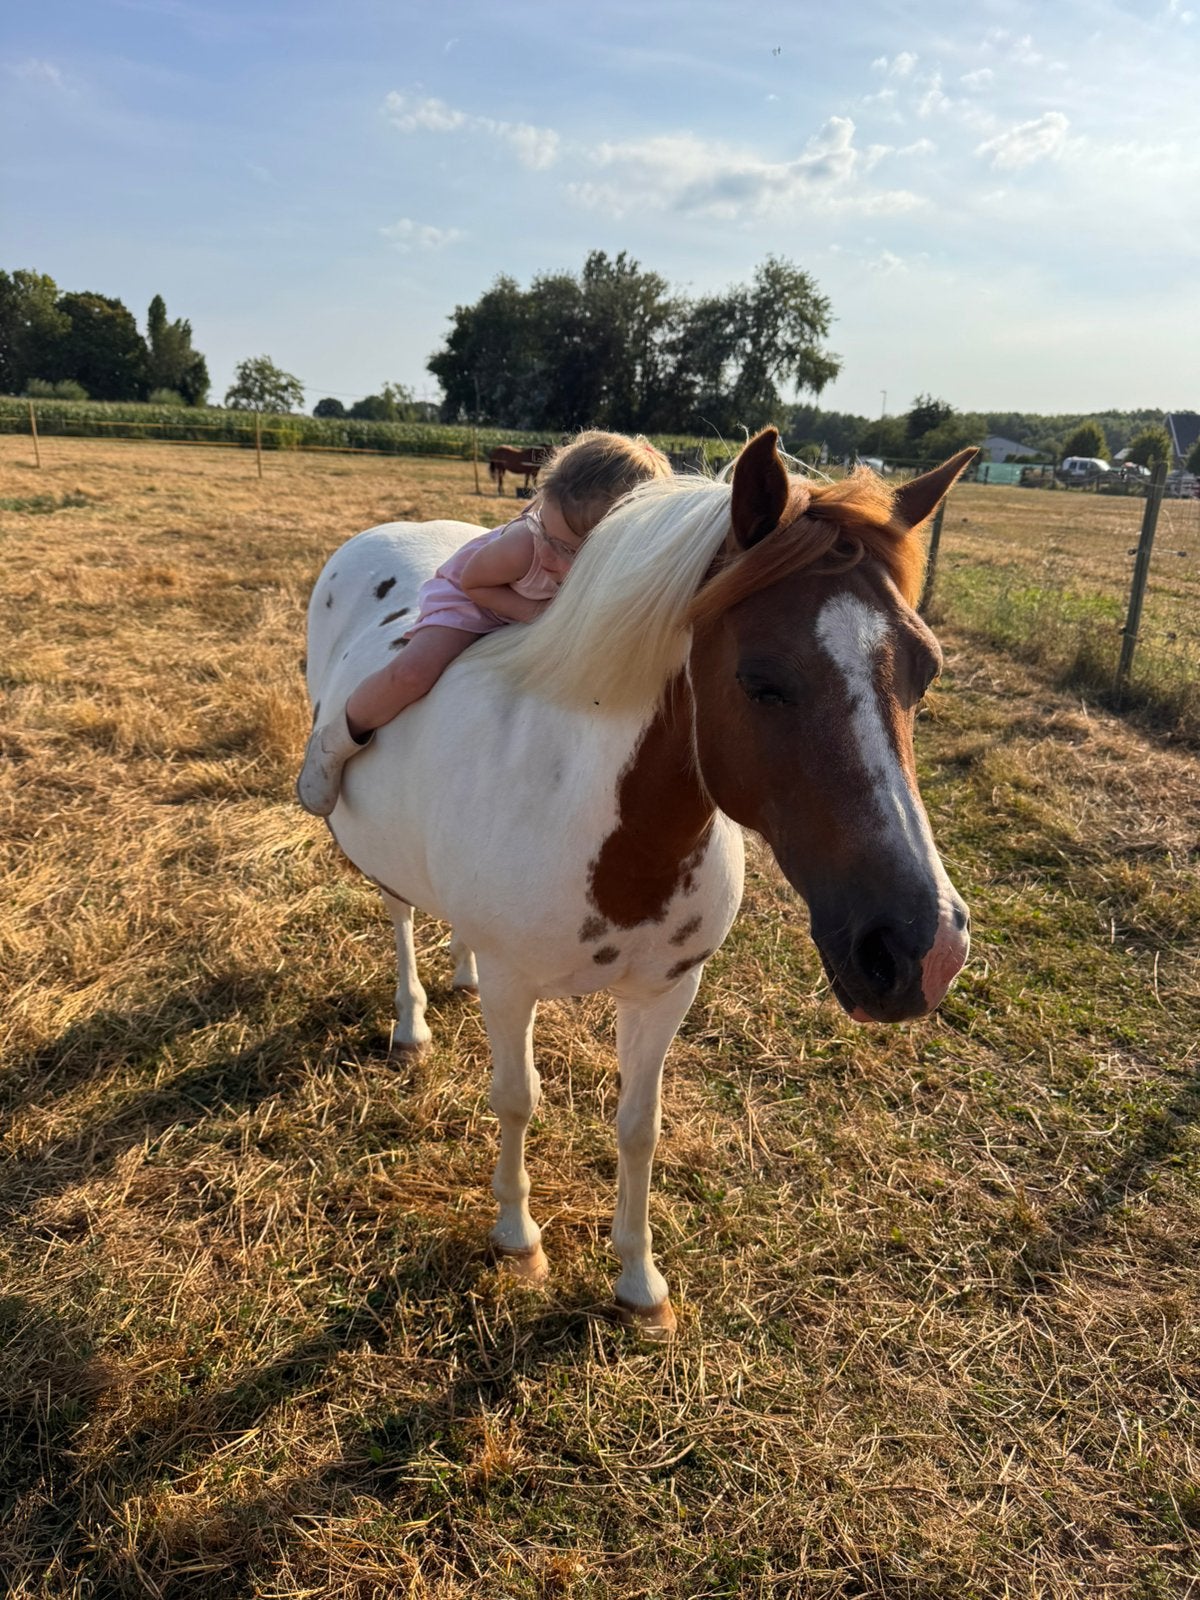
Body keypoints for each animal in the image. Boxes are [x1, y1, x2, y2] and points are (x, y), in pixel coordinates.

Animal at [305, 430, 976, 1335]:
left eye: (925, 669)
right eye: (761, 679)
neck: (599, 817)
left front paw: (638, 1281)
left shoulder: (666, 992)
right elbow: (516, 1098)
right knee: (401, 915)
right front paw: (517, 1239)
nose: (918, 949)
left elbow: (638, 1126)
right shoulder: (517, 989)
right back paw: (411, 1022)